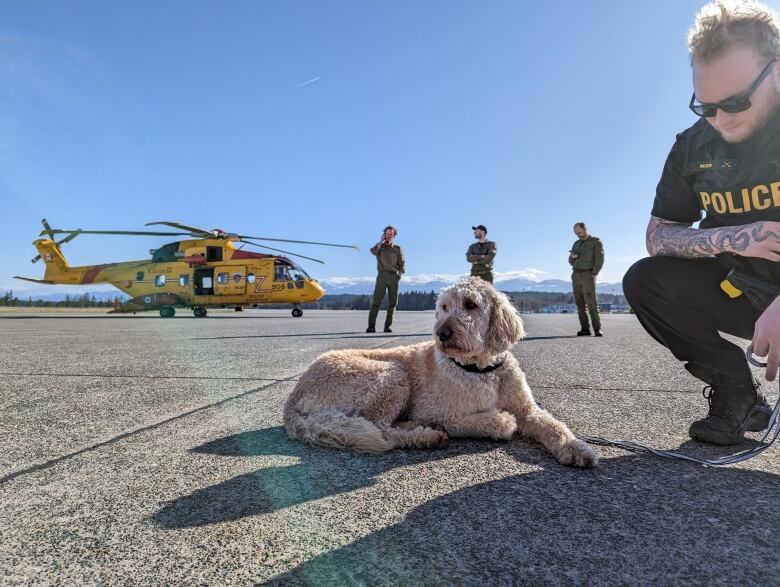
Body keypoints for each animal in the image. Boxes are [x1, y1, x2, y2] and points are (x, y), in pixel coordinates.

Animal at [286, 276, 596, 468]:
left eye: (471, 304)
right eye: (444, 307)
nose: (442, 333)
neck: (482, 369)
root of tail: (294, 395)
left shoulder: (527, 409)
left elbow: (554, 425)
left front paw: (576, 448)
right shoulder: (442, 413)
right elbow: (492, 421)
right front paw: (499, 421)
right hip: (392, 374)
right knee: (379, 427)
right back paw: (425, 436)